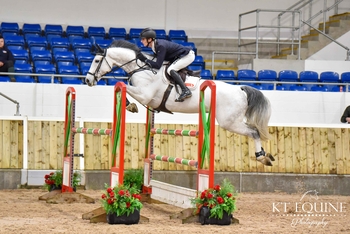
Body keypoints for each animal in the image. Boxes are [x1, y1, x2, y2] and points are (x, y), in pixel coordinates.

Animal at [86, 39, 274, 166]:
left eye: (96, 61)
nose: (88, 80)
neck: (142, 69)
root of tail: (240, 89)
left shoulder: (144, 95)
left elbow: (122, 86)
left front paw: (130, 105)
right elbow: (122, 87)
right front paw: (130, 105)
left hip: (229, 122)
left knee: (254, 132)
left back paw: (261, 157)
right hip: (232, 120)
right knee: (254, 130)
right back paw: (266, 156)